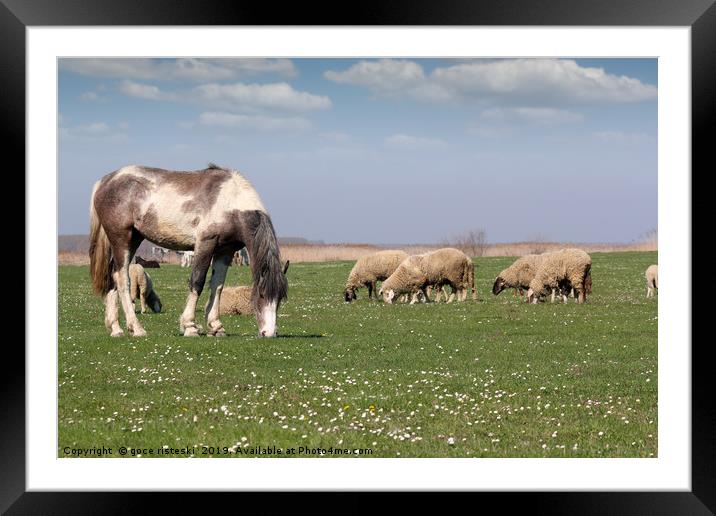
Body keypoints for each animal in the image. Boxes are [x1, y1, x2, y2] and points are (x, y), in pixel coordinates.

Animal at [89, 163, 288, 336]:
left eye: (280, 298)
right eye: (261, 294)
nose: (269, 333)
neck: (230, 202)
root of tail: (105, 181)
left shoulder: (225, 251)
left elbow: (217, 286)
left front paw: (216, 327)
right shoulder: (205, 244)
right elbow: (197, 282)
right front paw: (190, 326)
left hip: (133, 239)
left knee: (113, 276)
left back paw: (116, 329)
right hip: (122, 240)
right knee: (122, 279)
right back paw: (136, 328)